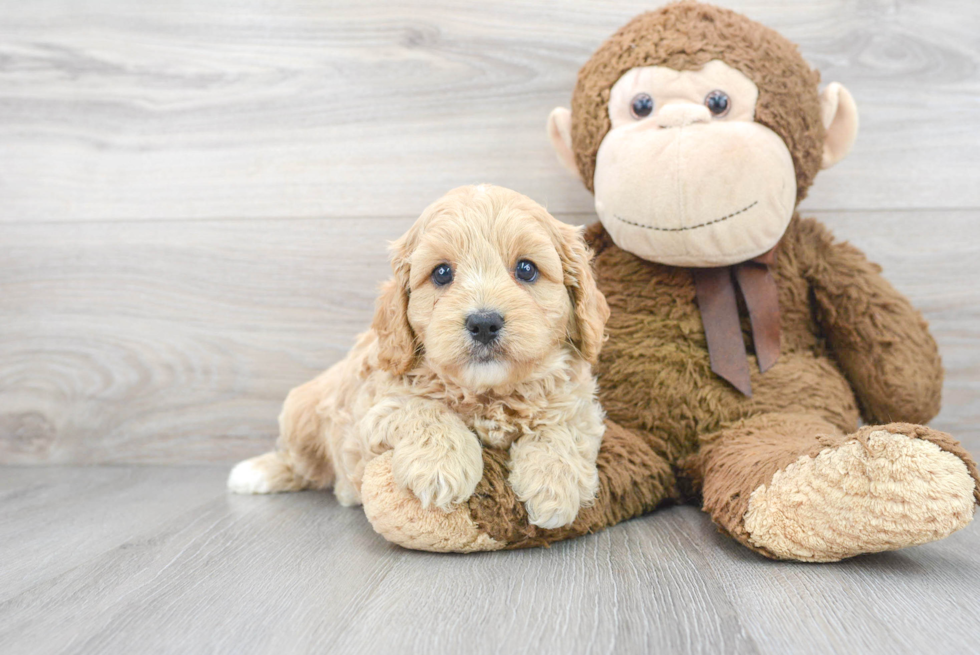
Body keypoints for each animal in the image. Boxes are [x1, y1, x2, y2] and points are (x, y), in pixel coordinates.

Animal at [232, 183, 612, 528]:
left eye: (527, 269)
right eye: (442, 273)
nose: (484, 323)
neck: (488, 394)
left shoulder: (580, 402)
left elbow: (563, 426)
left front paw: (554, 485)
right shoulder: (375, 406)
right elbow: (421, 408)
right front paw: (441, 467)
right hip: (301, 412)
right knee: (299, 463)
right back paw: (257, 473)